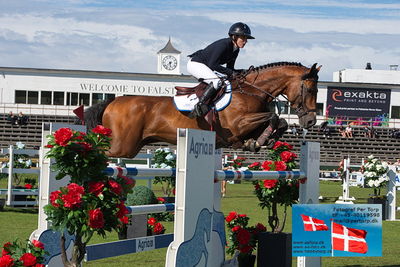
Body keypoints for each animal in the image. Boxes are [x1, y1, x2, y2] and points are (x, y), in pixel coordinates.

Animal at [85, 62, 322, 159]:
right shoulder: (237, 125)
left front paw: (259, 142)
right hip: (121, 147)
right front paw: (259, 141)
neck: (251, 91)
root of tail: (111, 103)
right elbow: (274, 116)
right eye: (311, 89)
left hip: (130, 146)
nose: (310, 122)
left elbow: (279, 121)